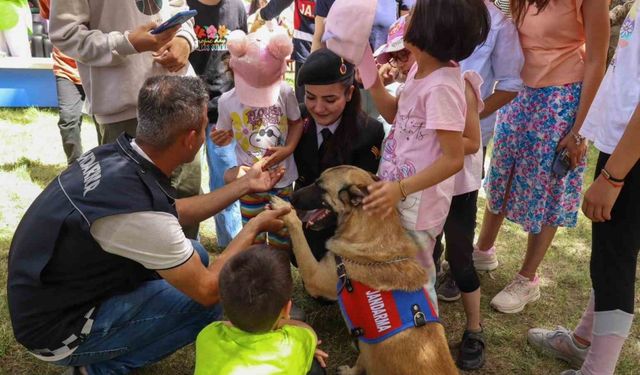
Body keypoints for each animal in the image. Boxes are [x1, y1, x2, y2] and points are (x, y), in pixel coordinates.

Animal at [270, 167, 460, 375]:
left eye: (320, 187)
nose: (292, 197)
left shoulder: (314, 277)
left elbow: (298, 234)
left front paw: (286, 211)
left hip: (368, 346)